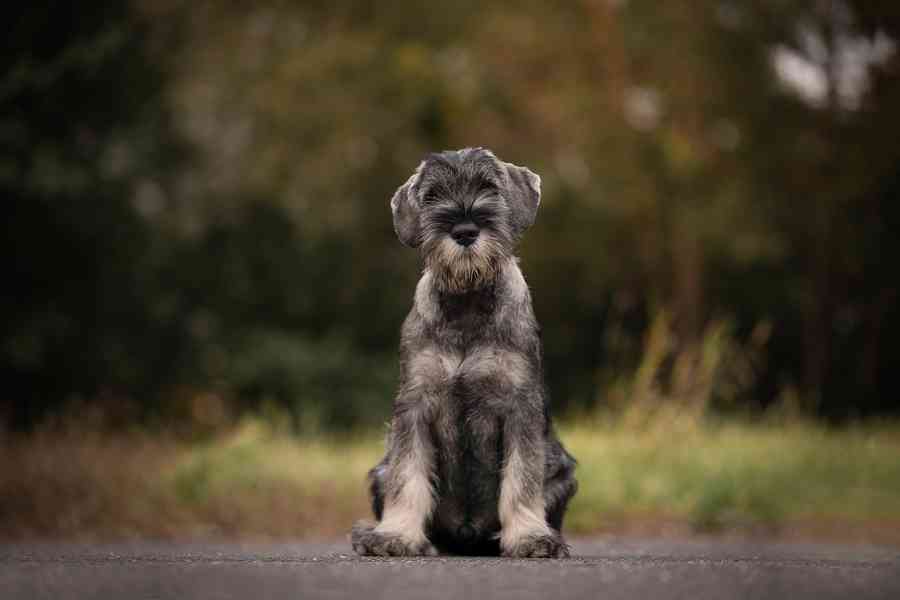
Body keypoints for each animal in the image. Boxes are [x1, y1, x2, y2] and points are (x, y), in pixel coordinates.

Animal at [352, 146, 576, 556]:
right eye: (432, 196)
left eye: (490, 188)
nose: (465, 231)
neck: (467, 302)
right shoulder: (415, 405)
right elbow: (408, 475)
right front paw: (396, 536)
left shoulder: (519, 406)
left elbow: (522, 479)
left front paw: (530, 537)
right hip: (380, 469)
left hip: (562, 470)